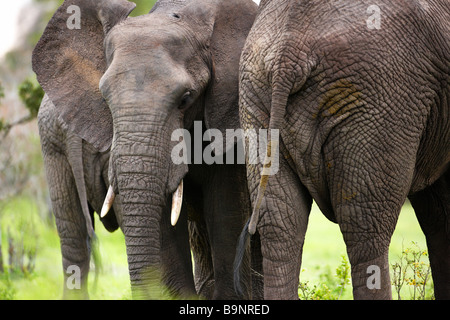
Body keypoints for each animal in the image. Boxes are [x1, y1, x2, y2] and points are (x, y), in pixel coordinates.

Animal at [33, 0, 258, 300]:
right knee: (73, 236)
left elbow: (226, 209)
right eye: (104, 98)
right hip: (52, 144)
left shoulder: (228, 114)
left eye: (186, 99)